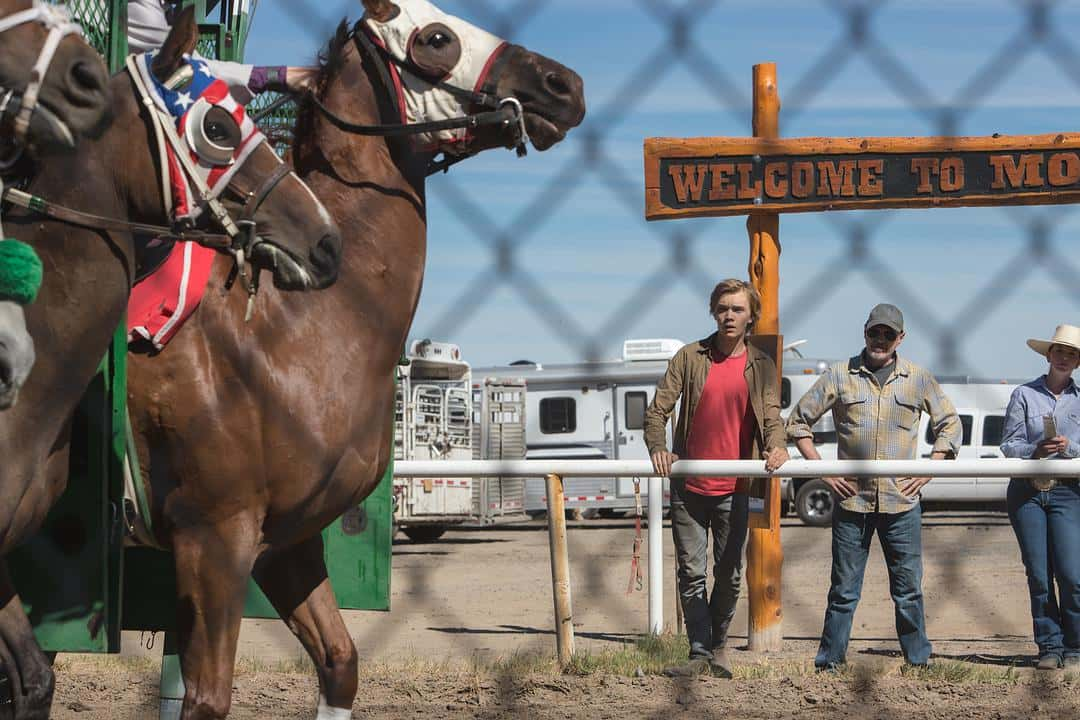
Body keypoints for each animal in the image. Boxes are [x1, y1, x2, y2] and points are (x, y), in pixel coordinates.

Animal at [129, 0, 587, 716]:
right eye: (436, 38)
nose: (565, 85)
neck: (293, 329)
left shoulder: (286, 541)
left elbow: (340, 663)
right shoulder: (214, 537)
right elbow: (208, 697)